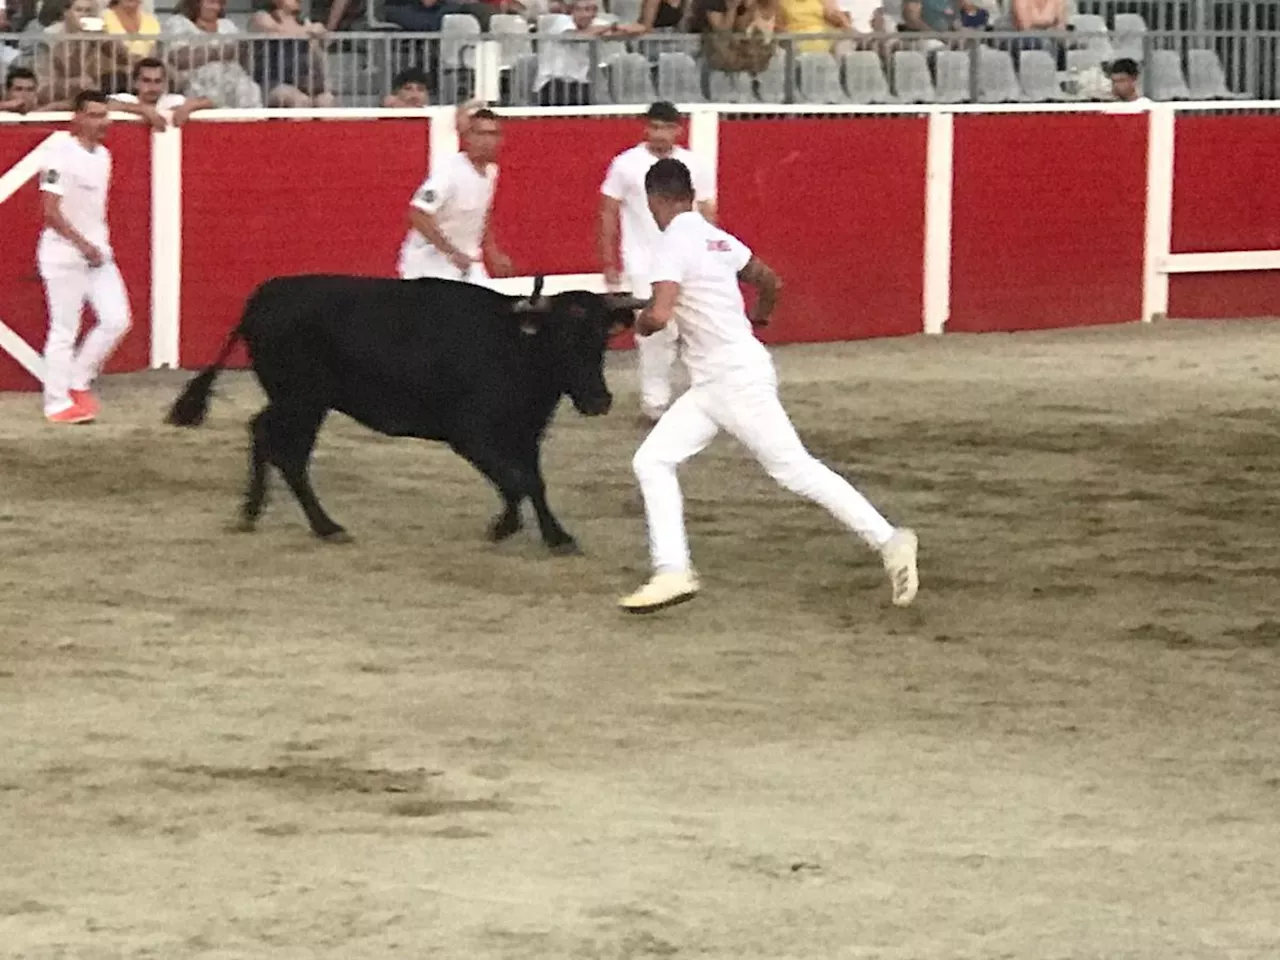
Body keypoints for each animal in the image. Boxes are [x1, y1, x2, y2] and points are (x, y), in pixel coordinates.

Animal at [168, 273, 645, 552]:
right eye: (561, 338)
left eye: (601, 338)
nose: (599, 401)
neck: (517, 346)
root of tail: (263, 297)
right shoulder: (471, 434)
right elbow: (520, 480)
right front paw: (529, 531)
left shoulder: (525, 433)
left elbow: (530, 480)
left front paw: (532, 530)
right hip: (301, 400)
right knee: (284, 449)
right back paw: (324, 526)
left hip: (301, 401)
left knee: (266, 436)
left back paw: (258, 514)